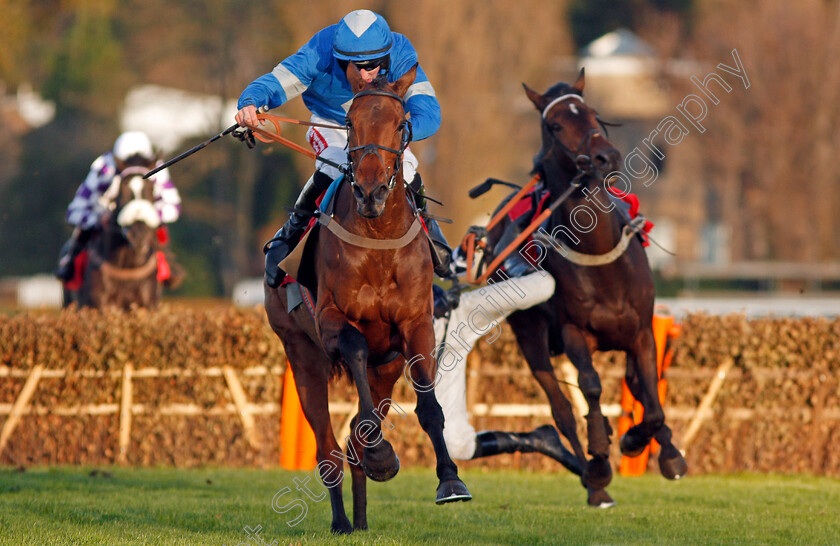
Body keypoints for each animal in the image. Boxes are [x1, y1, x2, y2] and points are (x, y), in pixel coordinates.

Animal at [65, 166, 162, 308]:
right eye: (122, 191)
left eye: (151, 190)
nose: (139, 235)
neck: (128, 267)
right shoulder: (98, 301)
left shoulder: (149, 301)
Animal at [264, 62, 470, 532]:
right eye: (350, 122)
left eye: (400, 123)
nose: (371, 192)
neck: (378, 238)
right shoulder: (330, 320)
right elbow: (355, 350)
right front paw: (380, 452)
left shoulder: (416, 326)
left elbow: (429, 406)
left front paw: (450, 480)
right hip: (301, 354)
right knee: (328, 447)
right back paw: (343, 520)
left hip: (385, 367)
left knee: (353, 436)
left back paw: (359, 519)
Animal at [482, 70, 684, 504]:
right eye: (556, 125)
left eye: (592, 113)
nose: (607, 157)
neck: (600, 255)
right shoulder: (574, 332)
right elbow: (589, 388)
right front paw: (602, 456)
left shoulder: (641, 330)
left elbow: (651, 396)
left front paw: (657, 449)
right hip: (529, 334)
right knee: (560, 410)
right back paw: (594, 480)